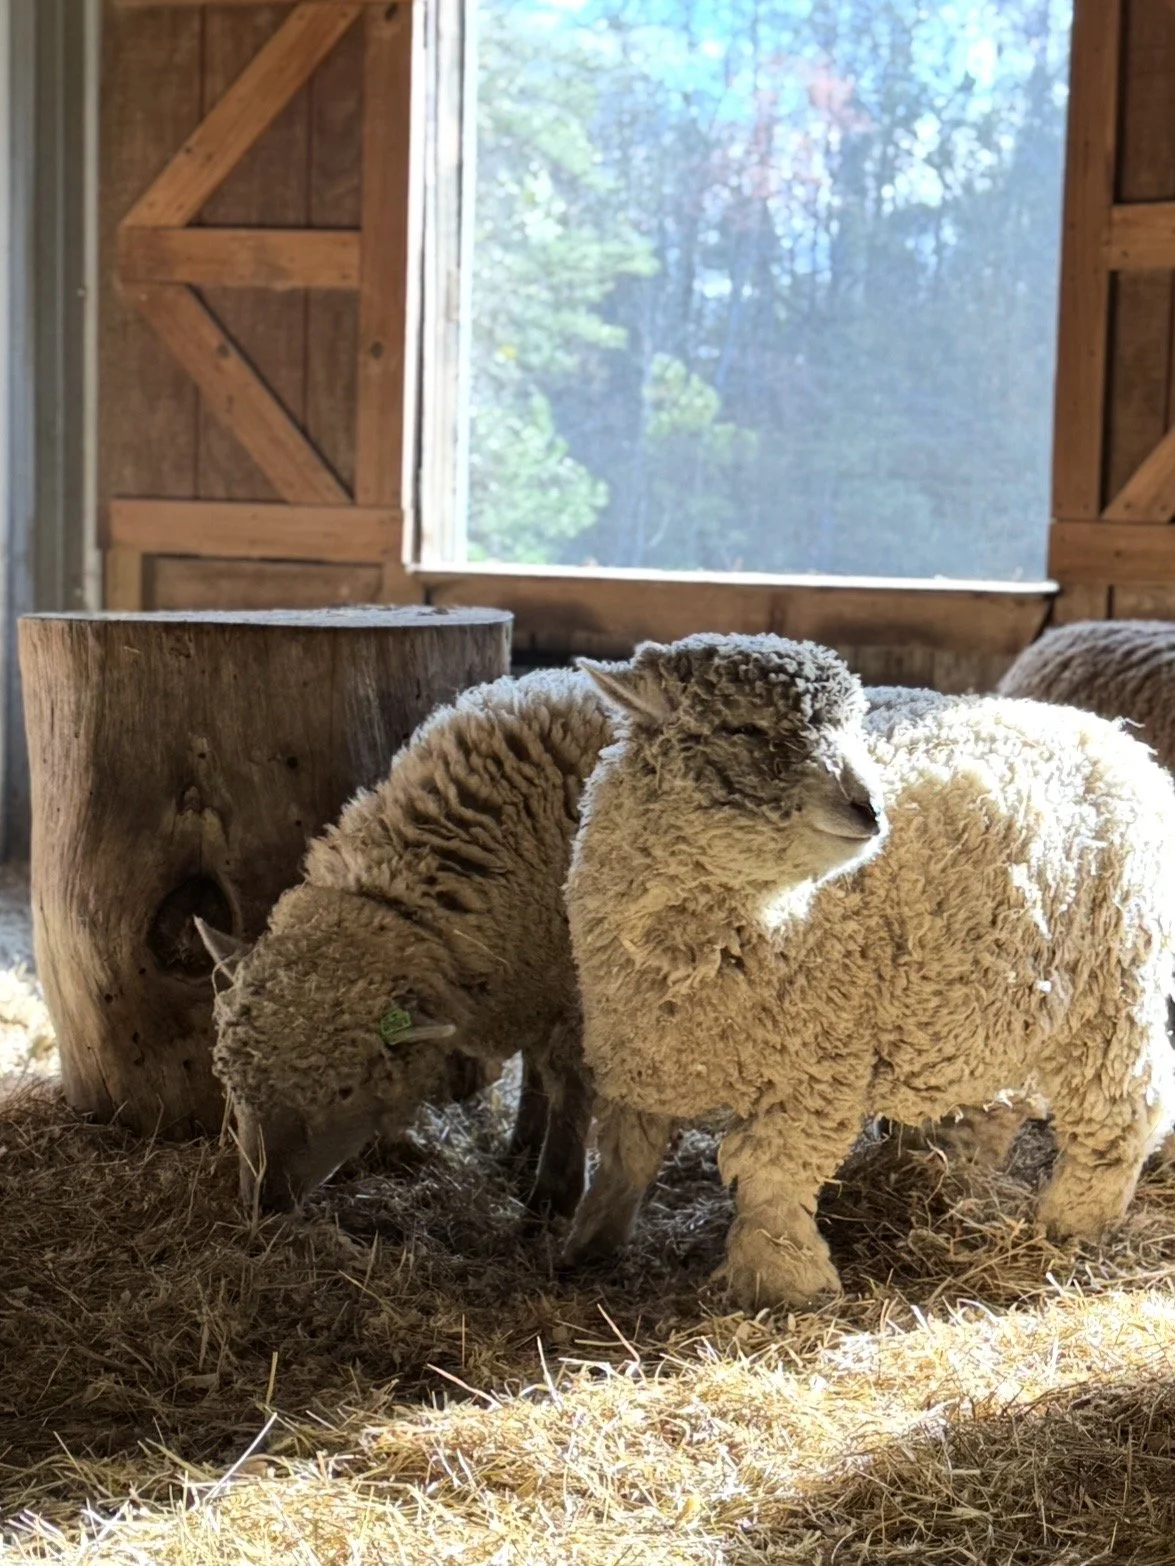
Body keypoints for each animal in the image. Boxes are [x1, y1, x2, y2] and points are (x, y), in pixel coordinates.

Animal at [197, 666, 613, 1218]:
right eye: (228, 1079)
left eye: (345, 1090)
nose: (264, 1204)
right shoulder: (535, 981)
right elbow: (536, 1073)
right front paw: (521, 1153)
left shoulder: (577, 994)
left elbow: (567, 1084)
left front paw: (551, 1199)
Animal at [562, 635, 1175, 1310]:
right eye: (741, 728)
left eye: (852, 727)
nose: (869, 808)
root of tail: (1117, 738)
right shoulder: (639, 1055)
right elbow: (628, 1154)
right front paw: (588, 1242)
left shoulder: (814, 1066)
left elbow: (772, 1173)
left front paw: (781, 1281)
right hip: (990, 999)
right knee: (999, 1099)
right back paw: (951, 1171)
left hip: (1115, 979)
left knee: (1129, 1102)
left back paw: (1076, 1218)